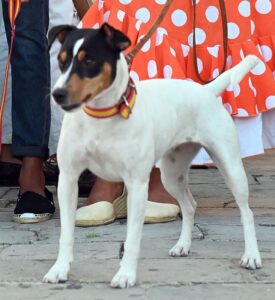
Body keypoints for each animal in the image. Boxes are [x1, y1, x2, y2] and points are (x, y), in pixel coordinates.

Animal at [43, 24, 264, 288]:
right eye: (61, 61)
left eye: (89, 61)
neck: (101, 118)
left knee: (246, 212)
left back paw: (251, 255)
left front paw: (125, 274)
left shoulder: (137, 184)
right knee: (189, 205)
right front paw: (59, 269)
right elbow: (66, 234)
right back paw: (183, 245)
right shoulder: (67, 179)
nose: (57, 94)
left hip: (230, 166)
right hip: (171, 175)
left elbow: (132, 238)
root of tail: (206, 90)